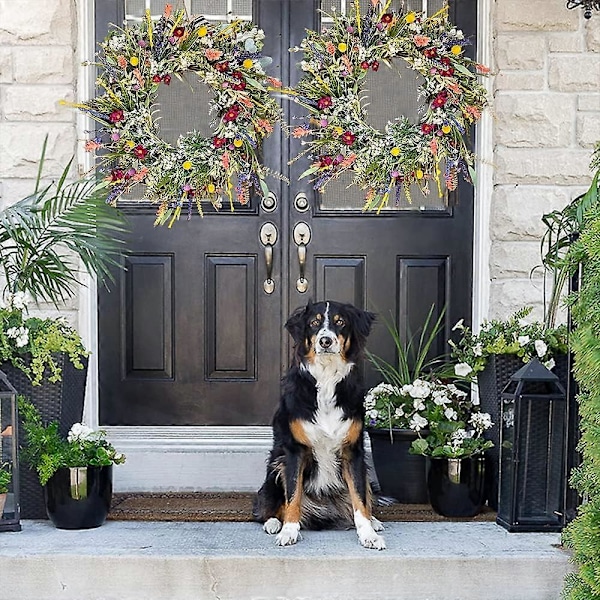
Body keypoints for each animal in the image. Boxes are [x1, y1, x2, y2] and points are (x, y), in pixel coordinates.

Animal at [252, 298, 384, 548]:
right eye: (314, 323)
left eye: (340, 322)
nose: (325, 341)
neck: (326, 377)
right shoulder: (295, 451)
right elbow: (293, 495)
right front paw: (289, 531)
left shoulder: (353, 452)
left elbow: (359, 499)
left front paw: (368, 534)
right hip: (275, 466)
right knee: (269, 506)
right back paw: (273, 523)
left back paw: (374, 521)